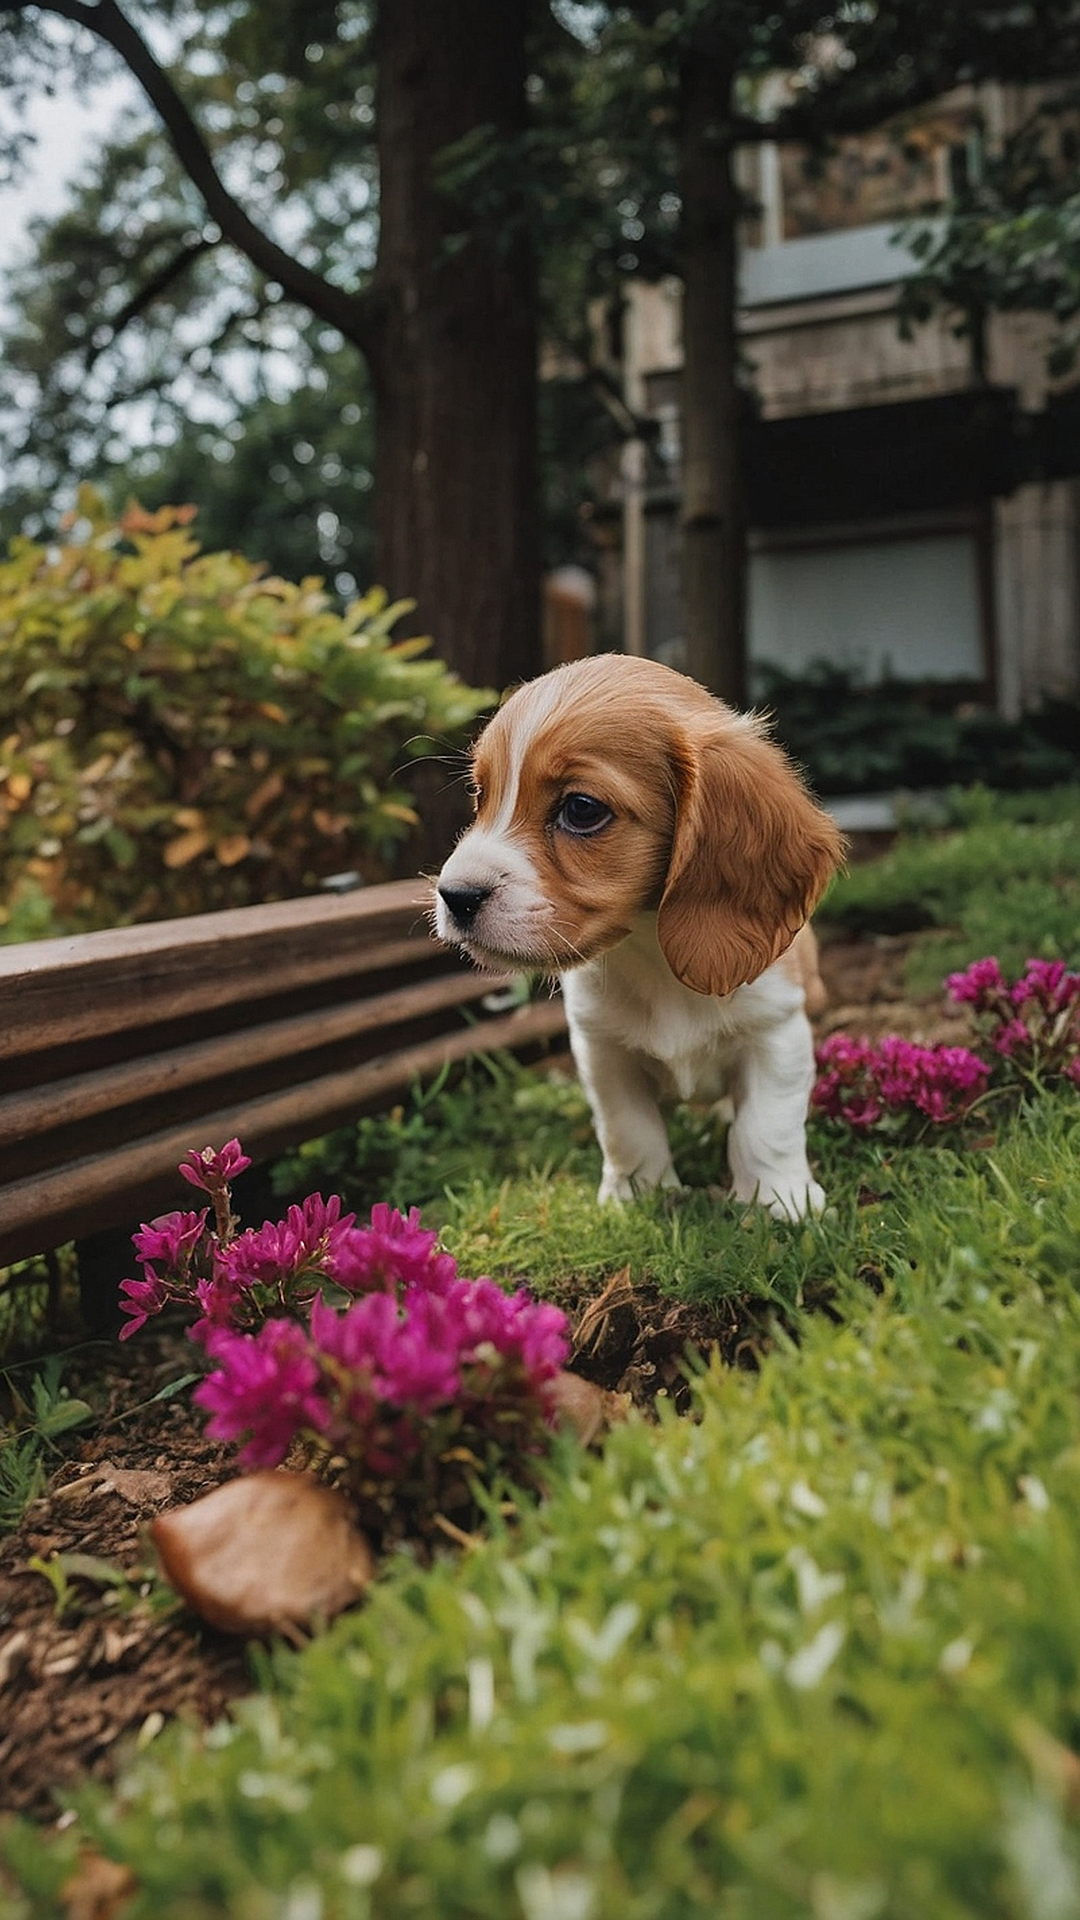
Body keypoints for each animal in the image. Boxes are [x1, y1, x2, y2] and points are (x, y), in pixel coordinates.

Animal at [430, 656, 841, 1213]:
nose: (454, 895)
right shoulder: (603, 1050)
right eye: (480, 794)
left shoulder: (776, 1032)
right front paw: (638, 1196)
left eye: (581, 809)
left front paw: (779, 1200)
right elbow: (629, 1130)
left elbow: (766, 1126)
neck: (650, 953)